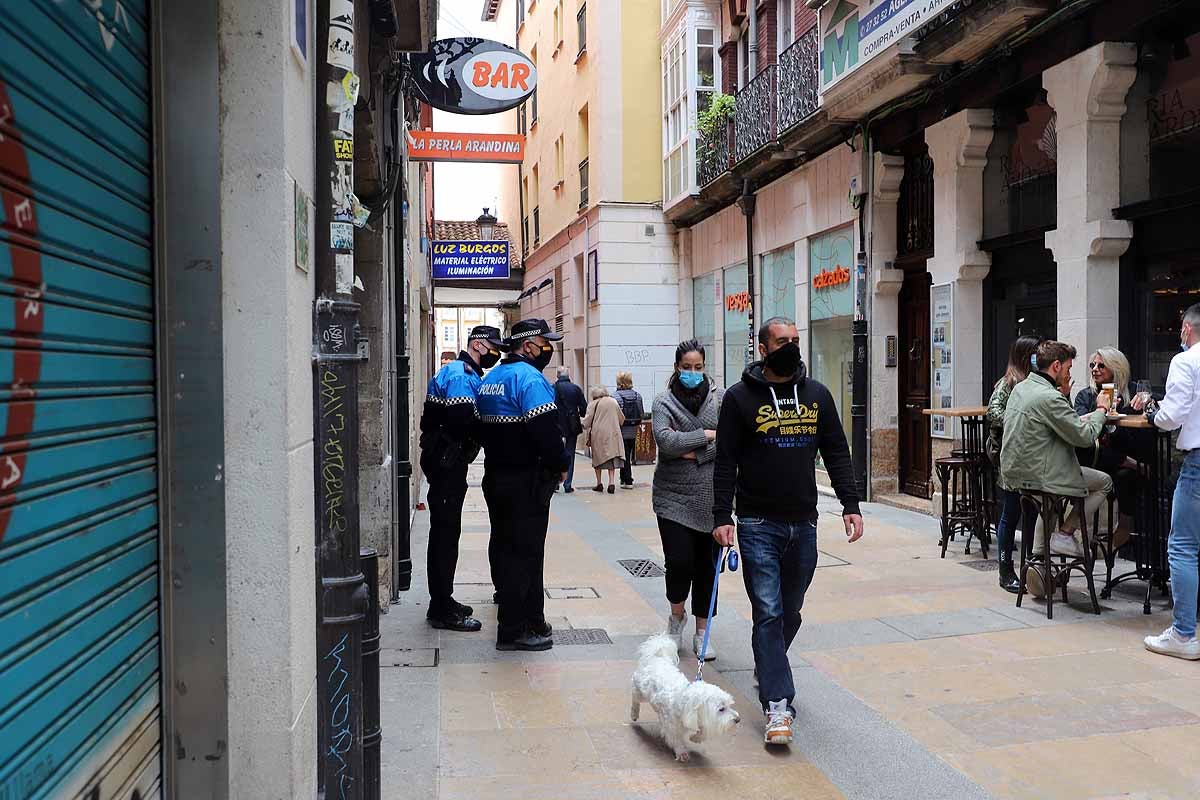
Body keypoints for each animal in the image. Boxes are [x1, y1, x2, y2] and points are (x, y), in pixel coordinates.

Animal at [628, 633, 739, 762]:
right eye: (721, 709)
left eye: (729, 705)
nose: (738, 719)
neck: (686, 703)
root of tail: (657, 658)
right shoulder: (672, 726)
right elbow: (676, 739)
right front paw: (682, 752)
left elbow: (703, 731)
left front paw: (696, 738)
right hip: (640, 691)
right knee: (635, 698)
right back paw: (634, 713)